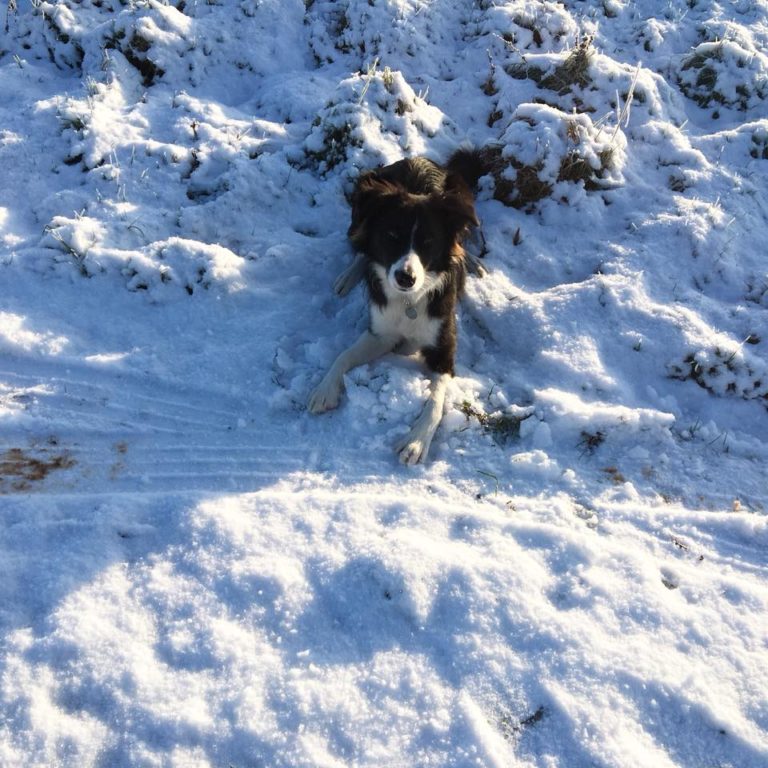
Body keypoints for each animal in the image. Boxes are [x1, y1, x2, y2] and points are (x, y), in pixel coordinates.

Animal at [308, 150, 484, 462]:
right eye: (391, 236)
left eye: (428, 242)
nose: (405, 277)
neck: (409, 302)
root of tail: (418, 158)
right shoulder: (381, 333)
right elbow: (343, 355)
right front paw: (325, 388)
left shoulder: (444, 347)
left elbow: (436, 399)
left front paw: (416, 441)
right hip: (361, 202)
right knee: (360, 244)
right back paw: (348, 275)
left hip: (461, 192)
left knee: (463, 238)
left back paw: (471, 259)